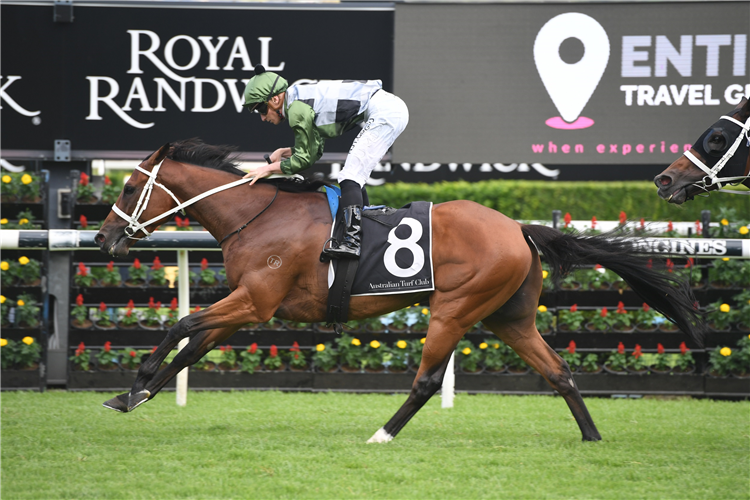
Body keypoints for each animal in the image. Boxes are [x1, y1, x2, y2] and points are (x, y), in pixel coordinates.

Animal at [95, 138, 704, 442]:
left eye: (126, 187)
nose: (103, 238)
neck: (259, 214)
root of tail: (517, 227)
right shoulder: (245, 305)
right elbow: (192, 345)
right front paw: (132, 396)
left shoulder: (256, 301)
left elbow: (181, 325)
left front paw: (136, 383)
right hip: (511, 317)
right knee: (559, 372)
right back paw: (592, 437)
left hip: (454, 309)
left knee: (428, 381)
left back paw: (382, 436)